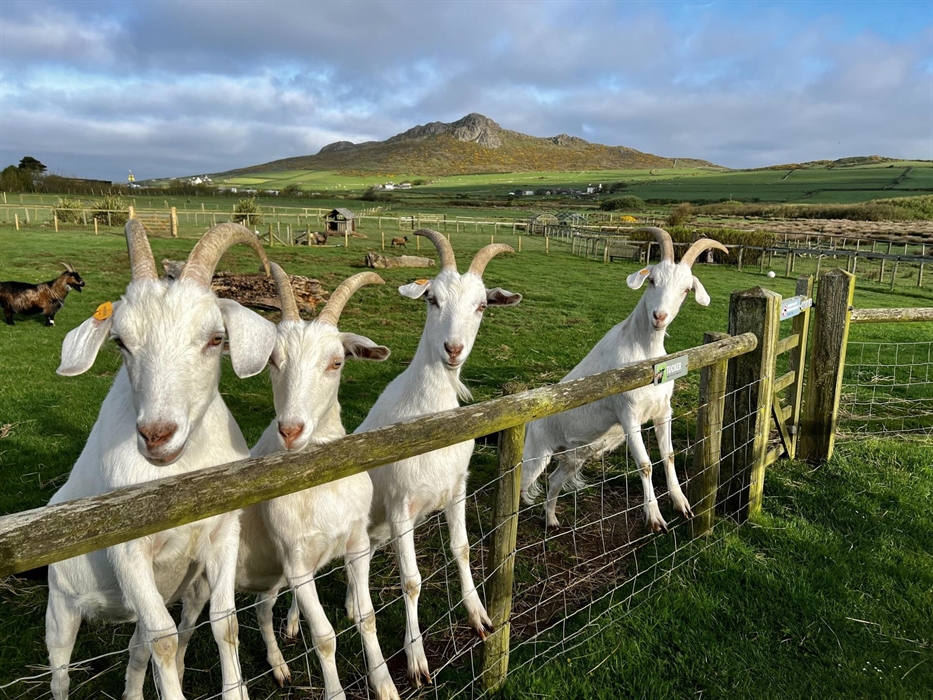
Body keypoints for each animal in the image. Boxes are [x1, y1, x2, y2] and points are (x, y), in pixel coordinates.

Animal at [46, 221, 276, 700]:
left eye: (216, 339)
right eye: (120, 342)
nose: (157, 434)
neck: (179, 472)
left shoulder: (223, 533)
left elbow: (224, 623)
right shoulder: (127, 549)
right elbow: (166, 641)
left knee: (137, 649)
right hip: (60, 605)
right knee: (60, 672)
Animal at [177, 265, 398, 699]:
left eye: (336, 362)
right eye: (274, 361)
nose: (291, 429)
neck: (322, 485)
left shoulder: (355, 543)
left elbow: (366, 617)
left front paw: (386, 686)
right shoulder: (297, 563)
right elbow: (325, 636)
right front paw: (335, 692)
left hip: (269, 578)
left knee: (262, 610)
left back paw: (279, 666)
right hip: (204, 582)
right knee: (184, 631)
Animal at [356, 229, 521, 686]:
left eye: (482, 305)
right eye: (431, 298)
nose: (453, 348)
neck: (426, 412)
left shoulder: (455, 487)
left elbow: (462, 547)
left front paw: (480, 616)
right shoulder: (401, 505)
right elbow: (411, 581)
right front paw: (415, 660)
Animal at [521, 228, 728, 532]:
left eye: (686, 289)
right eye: (652, 280)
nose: (659, 316)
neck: (644, 352)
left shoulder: (663, 410)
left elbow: (668, 455)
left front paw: (682, 504)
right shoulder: (628, 414)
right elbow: (645, 464)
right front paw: (655, 518)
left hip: (576, 455)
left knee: (555, 480)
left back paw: (552, 521)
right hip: (536, 452)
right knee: (519, 487)